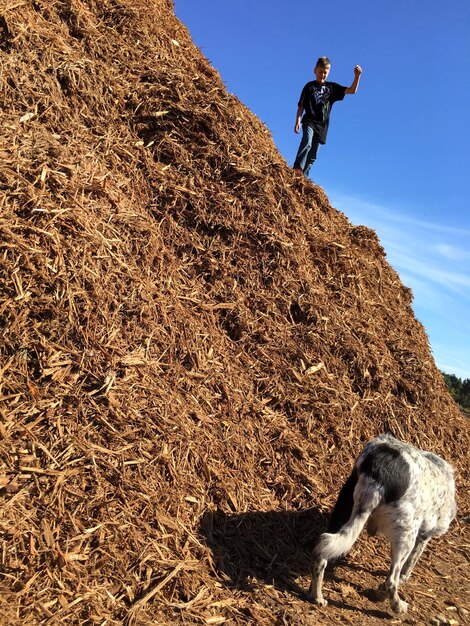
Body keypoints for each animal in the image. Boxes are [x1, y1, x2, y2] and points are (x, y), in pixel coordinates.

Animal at [308, 432, 456, 612]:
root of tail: (379, 471)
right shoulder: (424, 535)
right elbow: (409, 566)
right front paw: (393, 585)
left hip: (343, 510)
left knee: (321, 556)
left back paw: (316, 596)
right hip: (406, 537)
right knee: (391, 581)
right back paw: (397, 606)